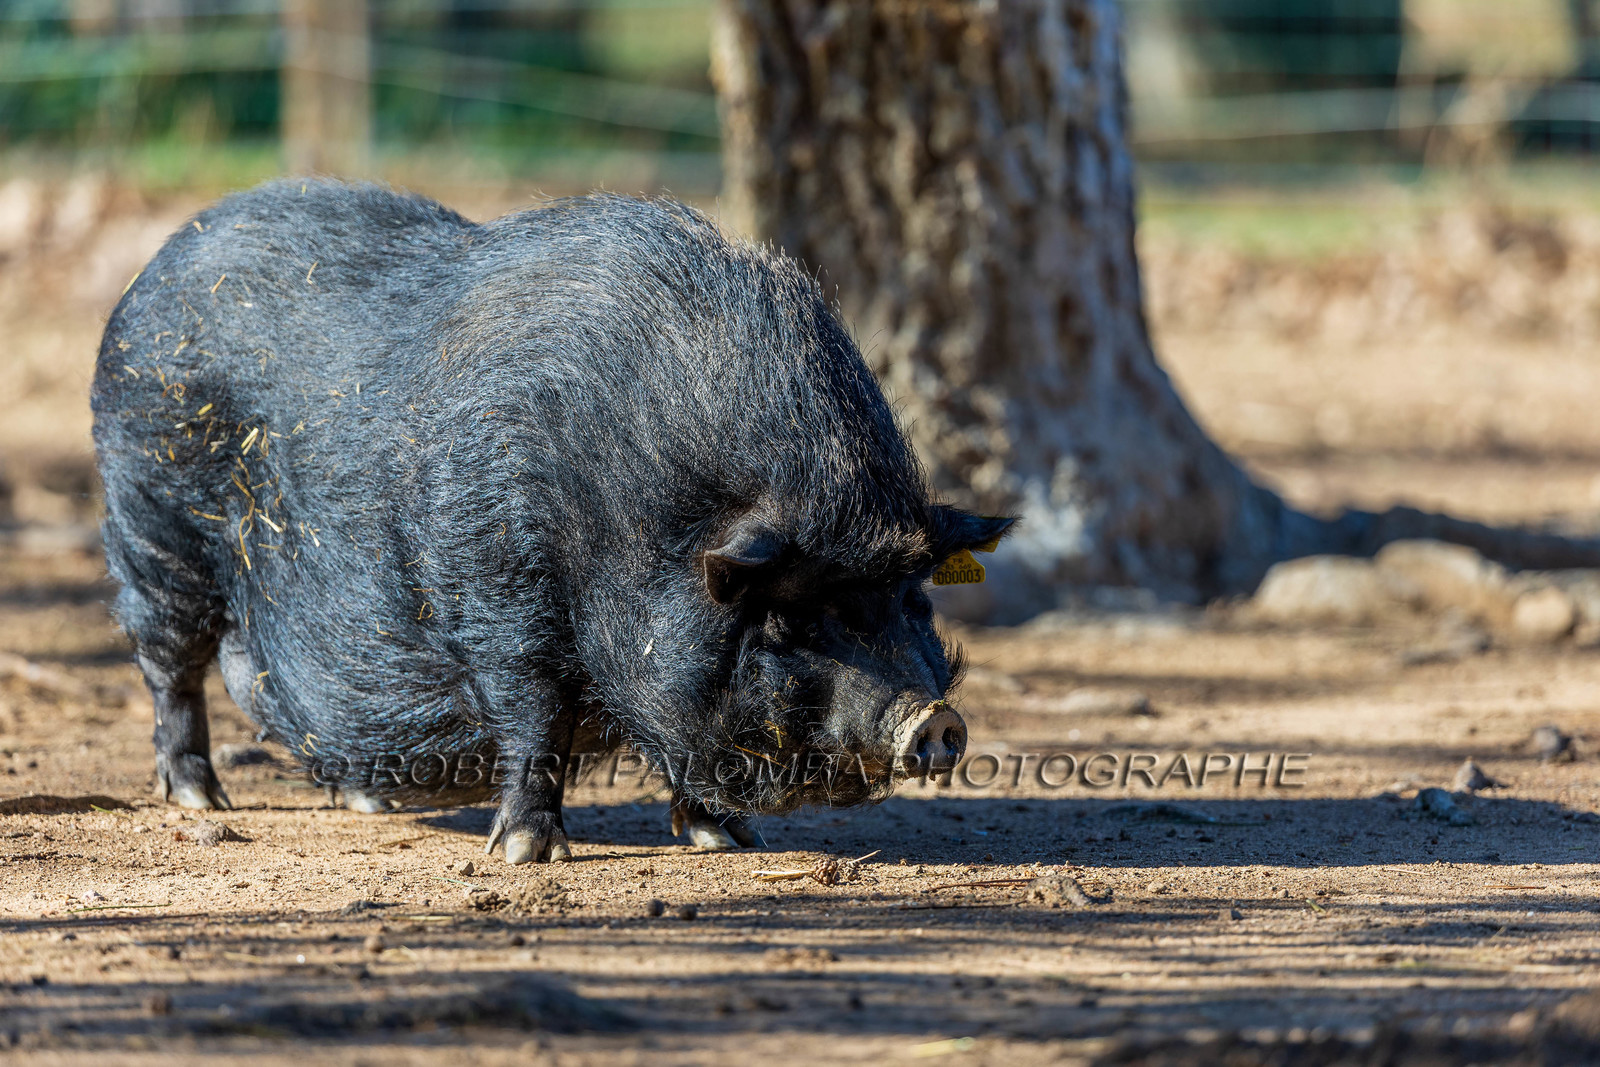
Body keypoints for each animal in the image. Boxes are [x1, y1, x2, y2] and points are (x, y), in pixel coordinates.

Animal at [91, 179, 1012, 863]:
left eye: (913, 600)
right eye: (786, 617)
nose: (933, 718)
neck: (629, 500)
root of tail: (151, 271)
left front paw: (729, 840)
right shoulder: (498, 583)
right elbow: (535, 713)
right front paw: (528, 853)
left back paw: (366, 799)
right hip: (152, 519)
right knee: (169, 660)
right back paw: (200, 796)